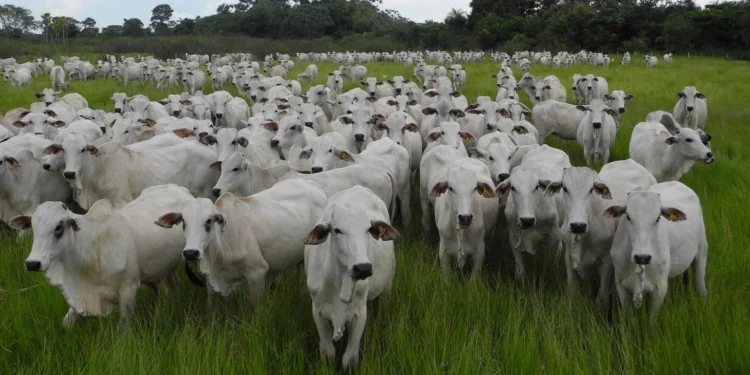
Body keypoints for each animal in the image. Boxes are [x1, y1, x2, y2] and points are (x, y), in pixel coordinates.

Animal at [306, 187, 400, 372]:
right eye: (337, 230)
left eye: (368, 229)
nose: (363, 268)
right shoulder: (317, 311)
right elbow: (327, 352)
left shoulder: (359, 314)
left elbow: (349, 358)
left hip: (387, 286)